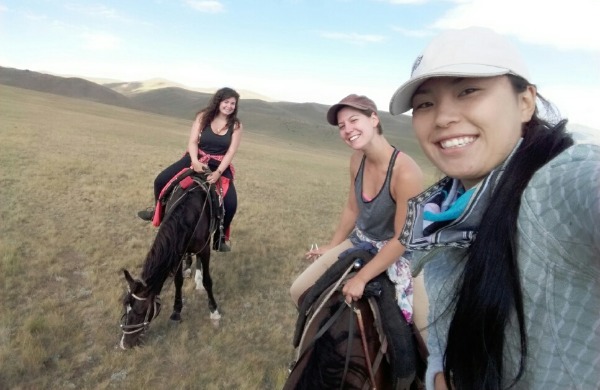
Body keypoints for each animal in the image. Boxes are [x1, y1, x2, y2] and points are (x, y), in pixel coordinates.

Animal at [118, 169, 220, 348]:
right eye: (125, 305)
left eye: (140, 311)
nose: (125, 343)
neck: (188, 213)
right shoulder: (177, 252)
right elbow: (178, 281)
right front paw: (176, 312)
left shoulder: (205, 249)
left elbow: (208, 280)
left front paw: (214, 311)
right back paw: (188, 268)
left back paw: (197, 278)